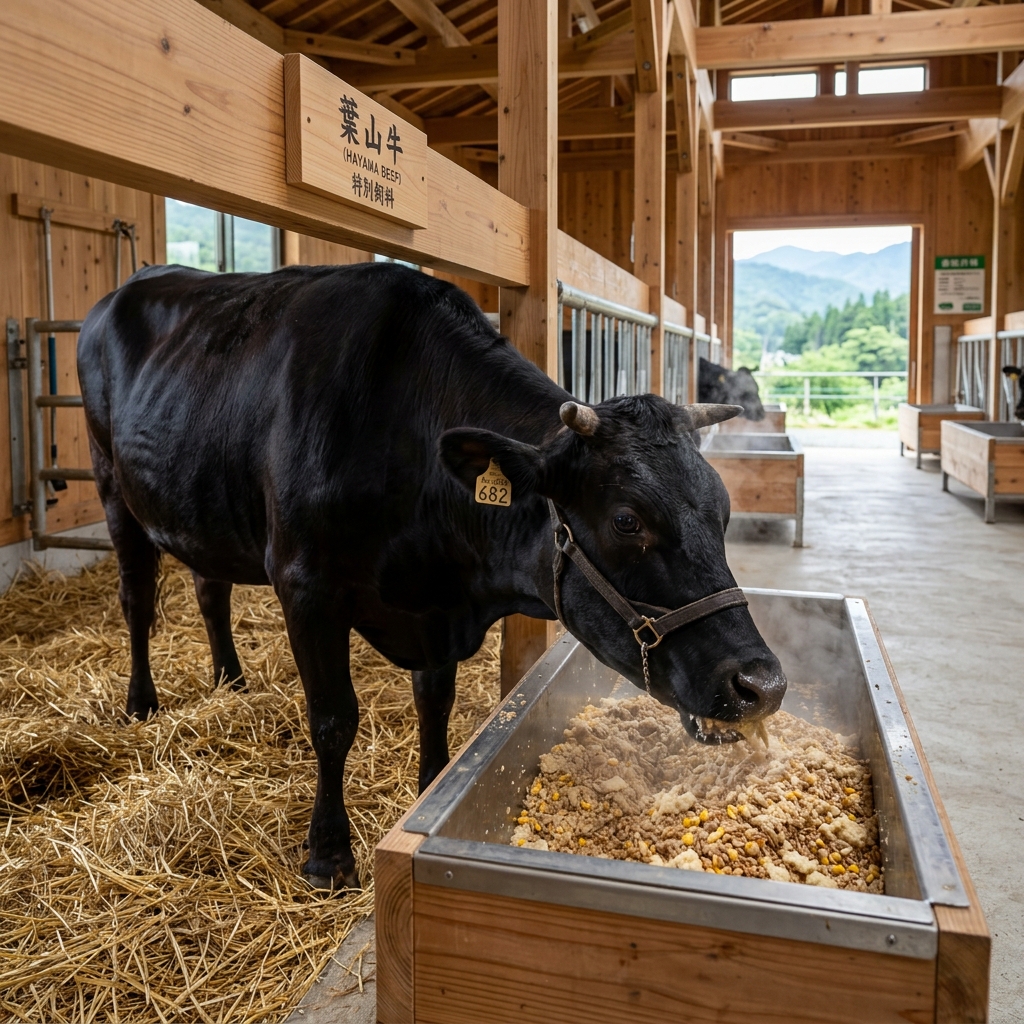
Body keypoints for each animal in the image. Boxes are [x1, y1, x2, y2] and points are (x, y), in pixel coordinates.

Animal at [77, 262, 786, 890]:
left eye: (723, 510)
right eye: (627, 519)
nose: (763, 684)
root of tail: (124, 289)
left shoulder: (437, 608)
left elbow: (434, 701)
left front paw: (429, 791)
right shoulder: (305, 585)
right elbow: (333, 719)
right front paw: (328, 856)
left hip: (202, 509)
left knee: (209, 586)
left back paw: (230, 679)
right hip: (113, 487)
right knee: (137, 599)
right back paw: (141, 703)